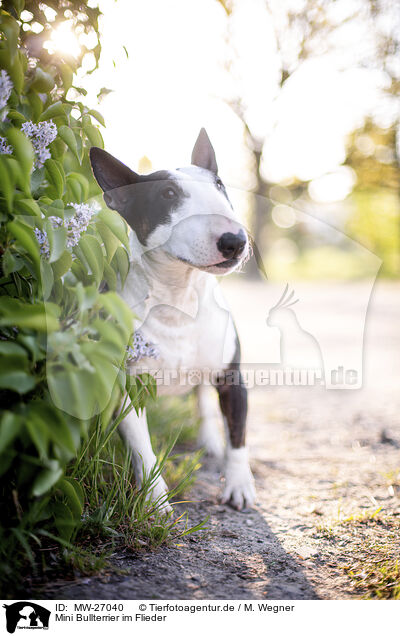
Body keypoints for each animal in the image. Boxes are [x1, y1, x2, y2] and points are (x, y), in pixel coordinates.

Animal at [89, 129, 255, 512]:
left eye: (219, 185)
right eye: (168, 194)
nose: (235, 241)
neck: (180, 298)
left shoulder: (232, 377)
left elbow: (238, 436)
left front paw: (239, 485)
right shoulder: (129, 388)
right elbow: (143, 449)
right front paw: (155, 502)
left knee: (202, 400)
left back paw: (210, 440)